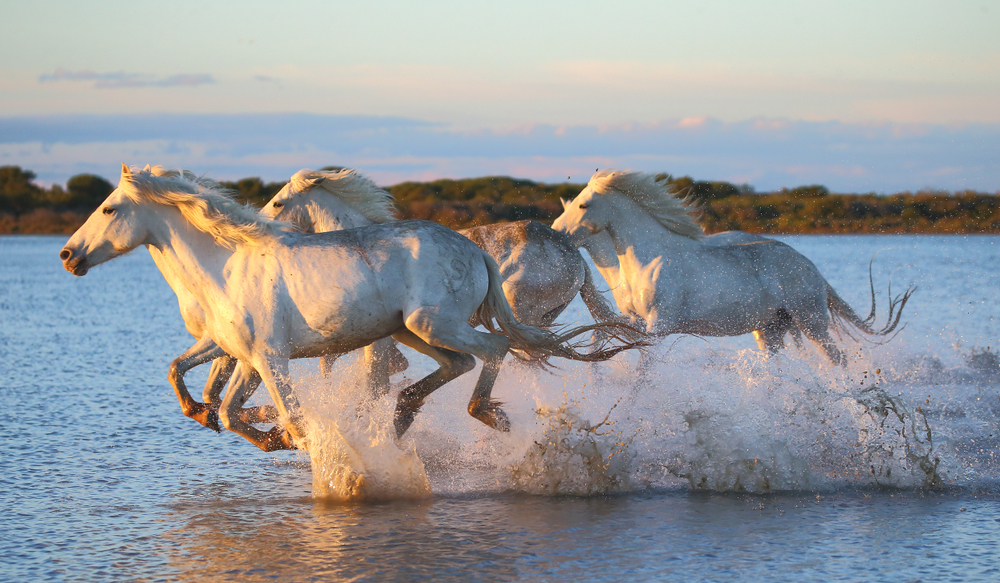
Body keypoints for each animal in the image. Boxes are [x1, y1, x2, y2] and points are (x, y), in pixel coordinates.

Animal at [62, 164, 640, 452]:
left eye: (109, 209)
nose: (68, 255)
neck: (225, 266)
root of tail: (474, 248)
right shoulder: (245, 355)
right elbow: (214, 399)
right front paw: (257, 430)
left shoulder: (269, 357)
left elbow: (277, 411)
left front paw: (295, 441)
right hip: (412, 332)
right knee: (459, 363)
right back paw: (404, 415)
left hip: (434, 324)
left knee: (493, 349)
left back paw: (481, 414)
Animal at [552, 168, 912, 364]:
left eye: (583, 205)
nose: (557, 232)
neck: (649, 259)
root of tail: (812, 268)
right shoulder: (633, 319)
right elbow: (600, 334)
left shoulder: (658, 326)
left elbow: (642, 364)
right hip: (771, 329)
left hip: (811, 321)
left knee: (838, 359)